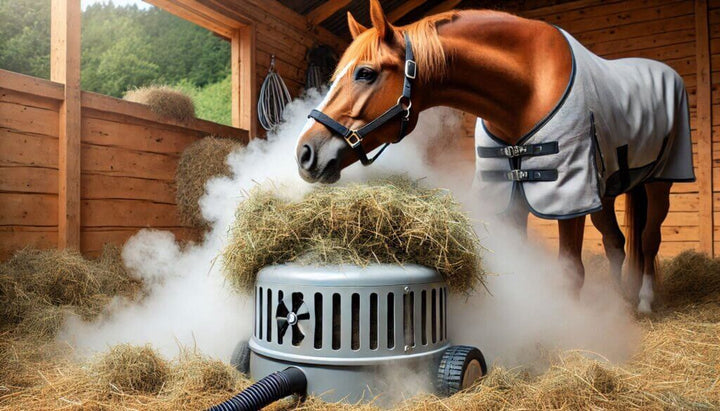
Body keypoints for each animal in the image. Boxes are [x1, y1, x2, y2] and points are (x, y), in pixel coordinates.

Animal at [295, 0, 695, 314]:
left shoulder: (567, 197)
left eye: (365, 73)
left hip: (659, 182)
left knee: (649, 239)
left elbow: (571, 275)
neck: (528, 87)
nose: (305, 154)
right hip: (605, 191)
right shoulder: (512, 195)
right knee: (616, 243)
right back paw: (619, 305)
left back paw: (643, 302)